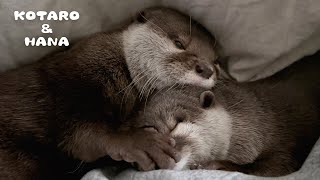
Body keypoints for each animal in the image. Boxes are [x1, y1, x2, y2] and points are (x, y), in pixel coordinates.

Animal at [0, 7, 220, 180]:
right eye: (179, 43)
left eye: (216, 62)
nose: (207, 69)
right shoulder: (74, 85)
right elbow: (83, 136)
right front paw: (144, 143)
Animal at [127, 51, 320, 177]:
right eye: (150, 130)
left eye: (176, 124)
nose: (161, 161)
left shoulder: (282, 140)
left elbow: (276, 165)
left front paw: (216, 165)